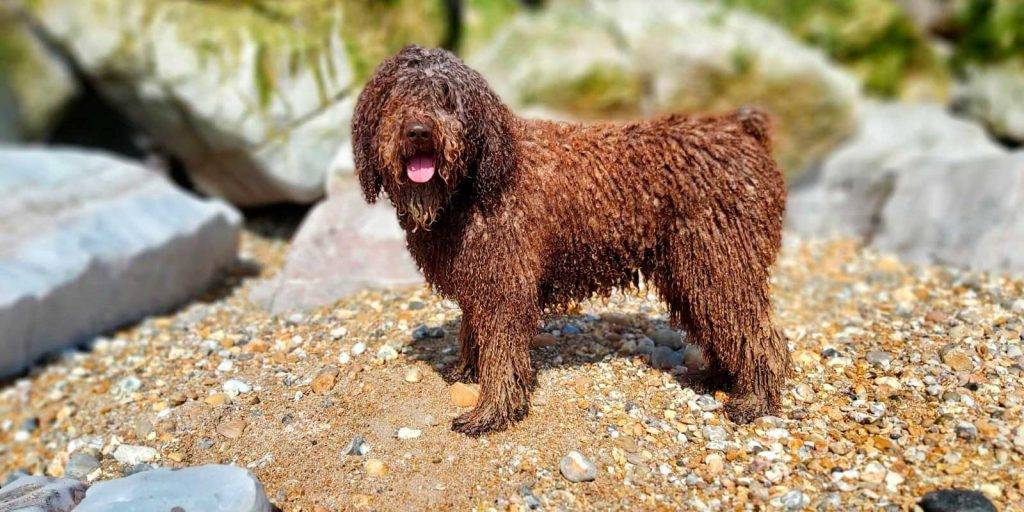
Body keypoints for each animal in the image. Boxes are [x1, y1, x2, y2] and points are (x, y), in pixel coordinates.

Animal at [352, 45, 790, 436]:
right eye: (393, 97)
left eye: (446, 98)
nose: (419, 131)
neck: (477, 180)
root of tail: (742, 131)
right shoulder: (480, 283)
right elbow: (475, 336)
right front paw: (469, 372)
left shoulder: (504, 286)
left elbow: (501, 353)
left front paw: (491, 413)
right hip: (692, 270)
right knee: (722, 326)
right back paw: (719, 377)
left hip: (720, 263)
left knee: (756, 334)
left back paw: (756, 399)